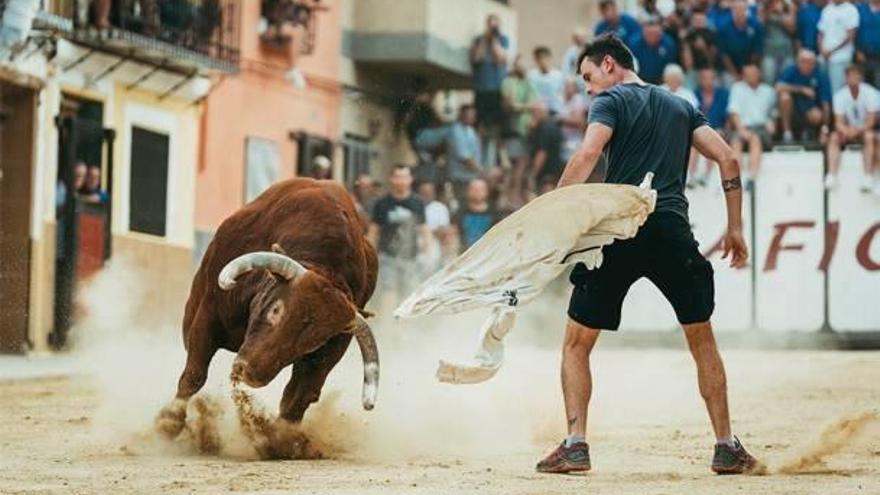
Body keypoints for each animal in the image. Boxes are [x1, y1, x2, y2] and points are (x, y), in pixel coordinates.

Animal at [158, 178, 378, 438]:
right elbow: (194, 374)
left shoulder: (332, 349)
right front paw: (169, 422)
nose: (249, 373)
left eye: (313, 342)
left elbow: (299, 397)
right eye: (275, 309)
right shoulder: (209, 314)